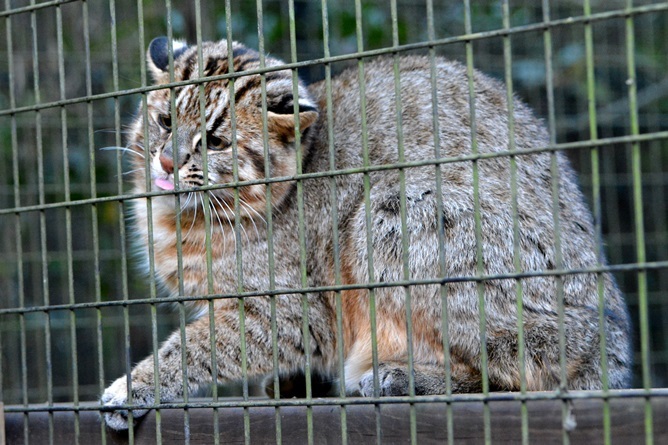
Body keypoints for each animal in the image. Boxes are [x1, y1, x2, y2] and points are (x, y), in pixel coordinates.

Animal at [100, 38, 632, 430]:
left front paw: (134, 386)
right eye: (164, 120)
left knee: (530, 370)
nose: (167, 162)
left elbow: (198, 347)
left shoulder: (289, 309)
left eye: (214, 142)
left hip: (397, 210)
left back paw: (402, 376)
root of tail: (613, 347)